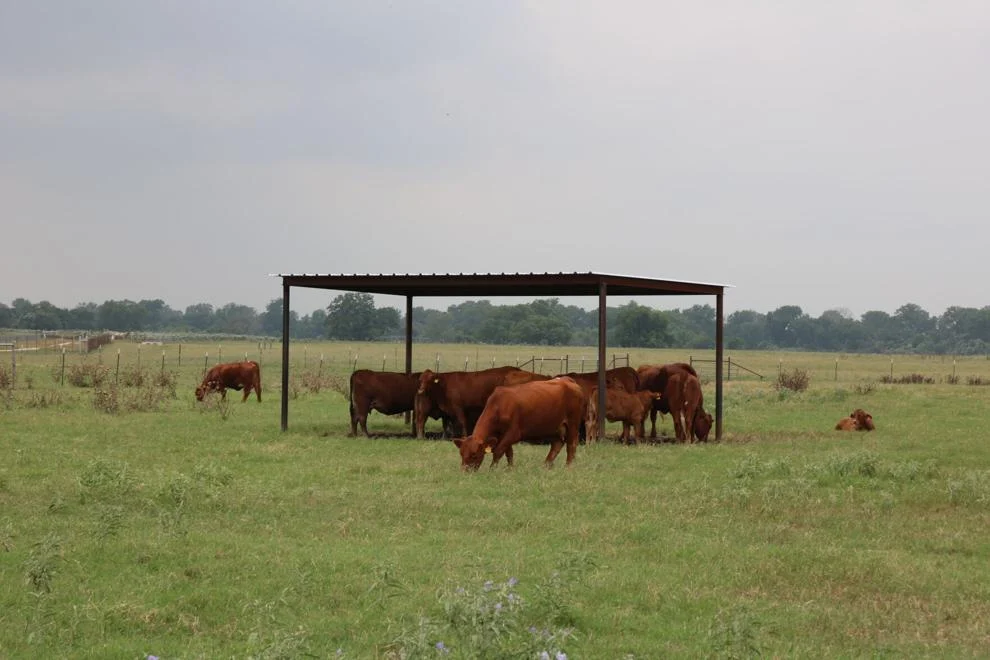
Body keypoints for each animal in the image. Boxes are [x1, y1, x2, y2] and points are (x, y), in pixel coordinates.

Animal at [452, 377, 586, 470]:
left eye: (474, 455)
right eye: (461, 453)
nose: (465, 472)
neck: (499, 406)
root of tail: (567, 380)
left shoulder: (513, 433)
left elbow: (498, 452)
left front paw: (492, 469)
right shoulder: (502, 436)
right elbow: (509, 453)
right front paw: (510, 469)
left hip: (572, 425)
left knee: (571, 446)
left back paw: (568, 468)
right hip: (557, 428)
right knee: (556, 445)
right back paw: (545, 466)